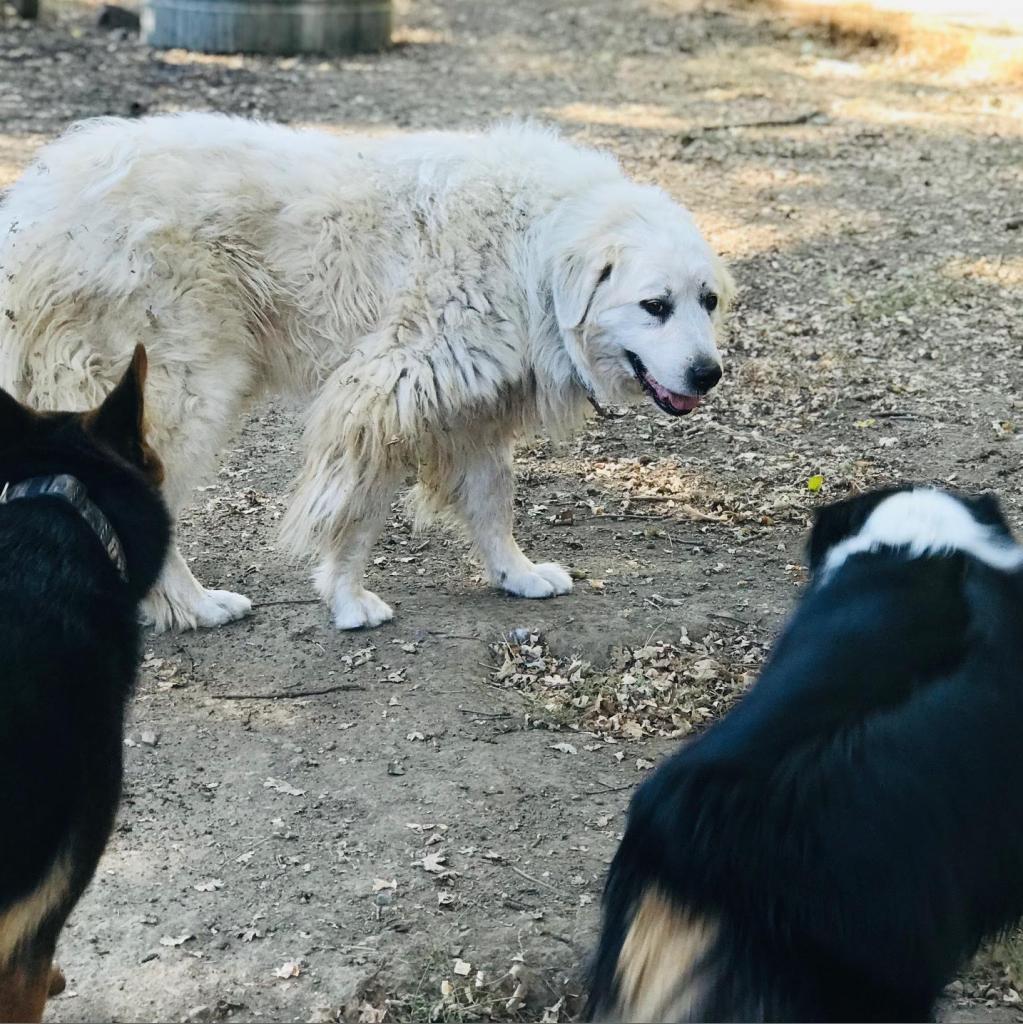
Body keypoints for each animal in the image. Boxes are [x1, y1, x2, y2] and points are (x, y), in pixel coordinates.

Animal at [0, 117, 737, 630]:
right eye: (655, 305)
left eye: (708, 301)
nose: (708, 374)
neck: (531, 248)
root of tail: (33, 209)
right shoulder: (384, 393)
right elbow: (356, 512)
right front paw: (348, 601)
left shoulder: (470, 410)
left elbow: (493, 500)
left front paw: (516, 575)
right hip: (189, 394)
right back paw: (194, 607)